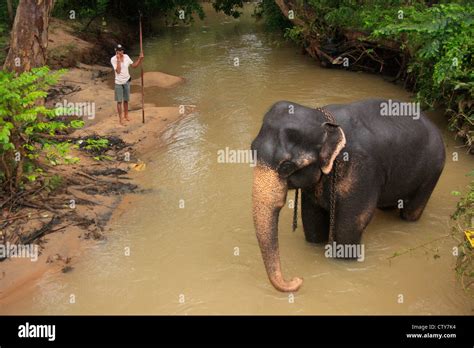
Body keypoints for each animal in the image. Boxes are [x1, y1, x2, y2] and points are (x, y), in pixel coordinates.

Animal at [250, 98, 446, 290]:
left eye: (287, 166)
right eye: (252, 151)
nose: (298, 279)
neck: (327, 123)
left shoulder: (362, 170)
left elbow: (350, 224)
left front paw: (344, 263)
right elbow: (312, 218)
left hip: (432, 172)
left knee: (412, 211)